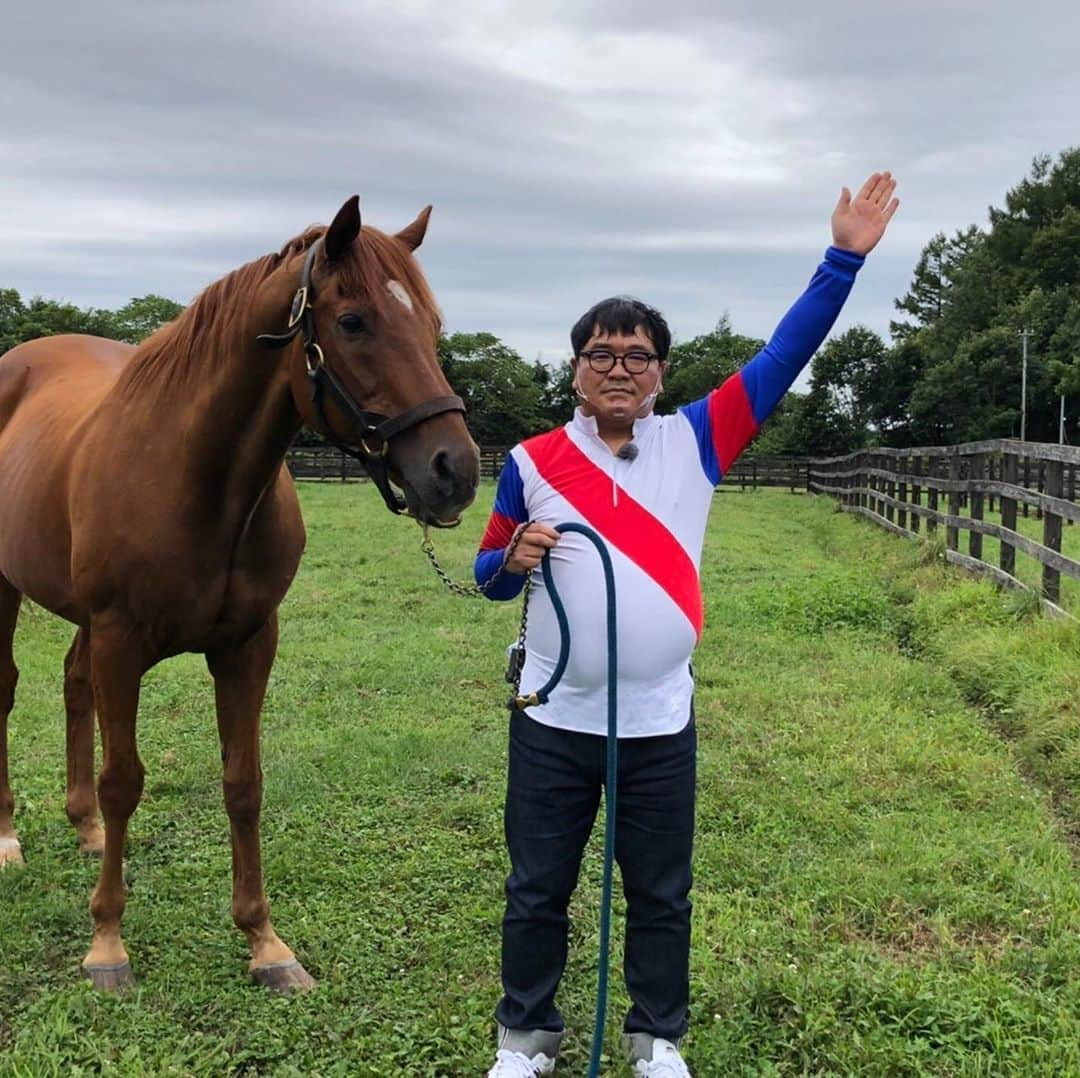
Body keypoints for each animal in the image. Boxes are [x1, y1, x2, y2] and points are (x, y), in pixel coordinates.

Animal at [0, 198, 477, 989]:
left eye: (434, 326)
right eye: (354, 322)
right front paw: (107, 943)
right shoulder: (121, 642)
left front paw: (264, 941)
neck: (198, 480)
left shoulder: (248, 645)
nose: (455, 472)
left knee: (71, 683)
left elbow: (243, 783)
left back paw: (86, 830)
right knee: (8, 688)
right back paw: (7, 837)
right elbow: (124, 780)